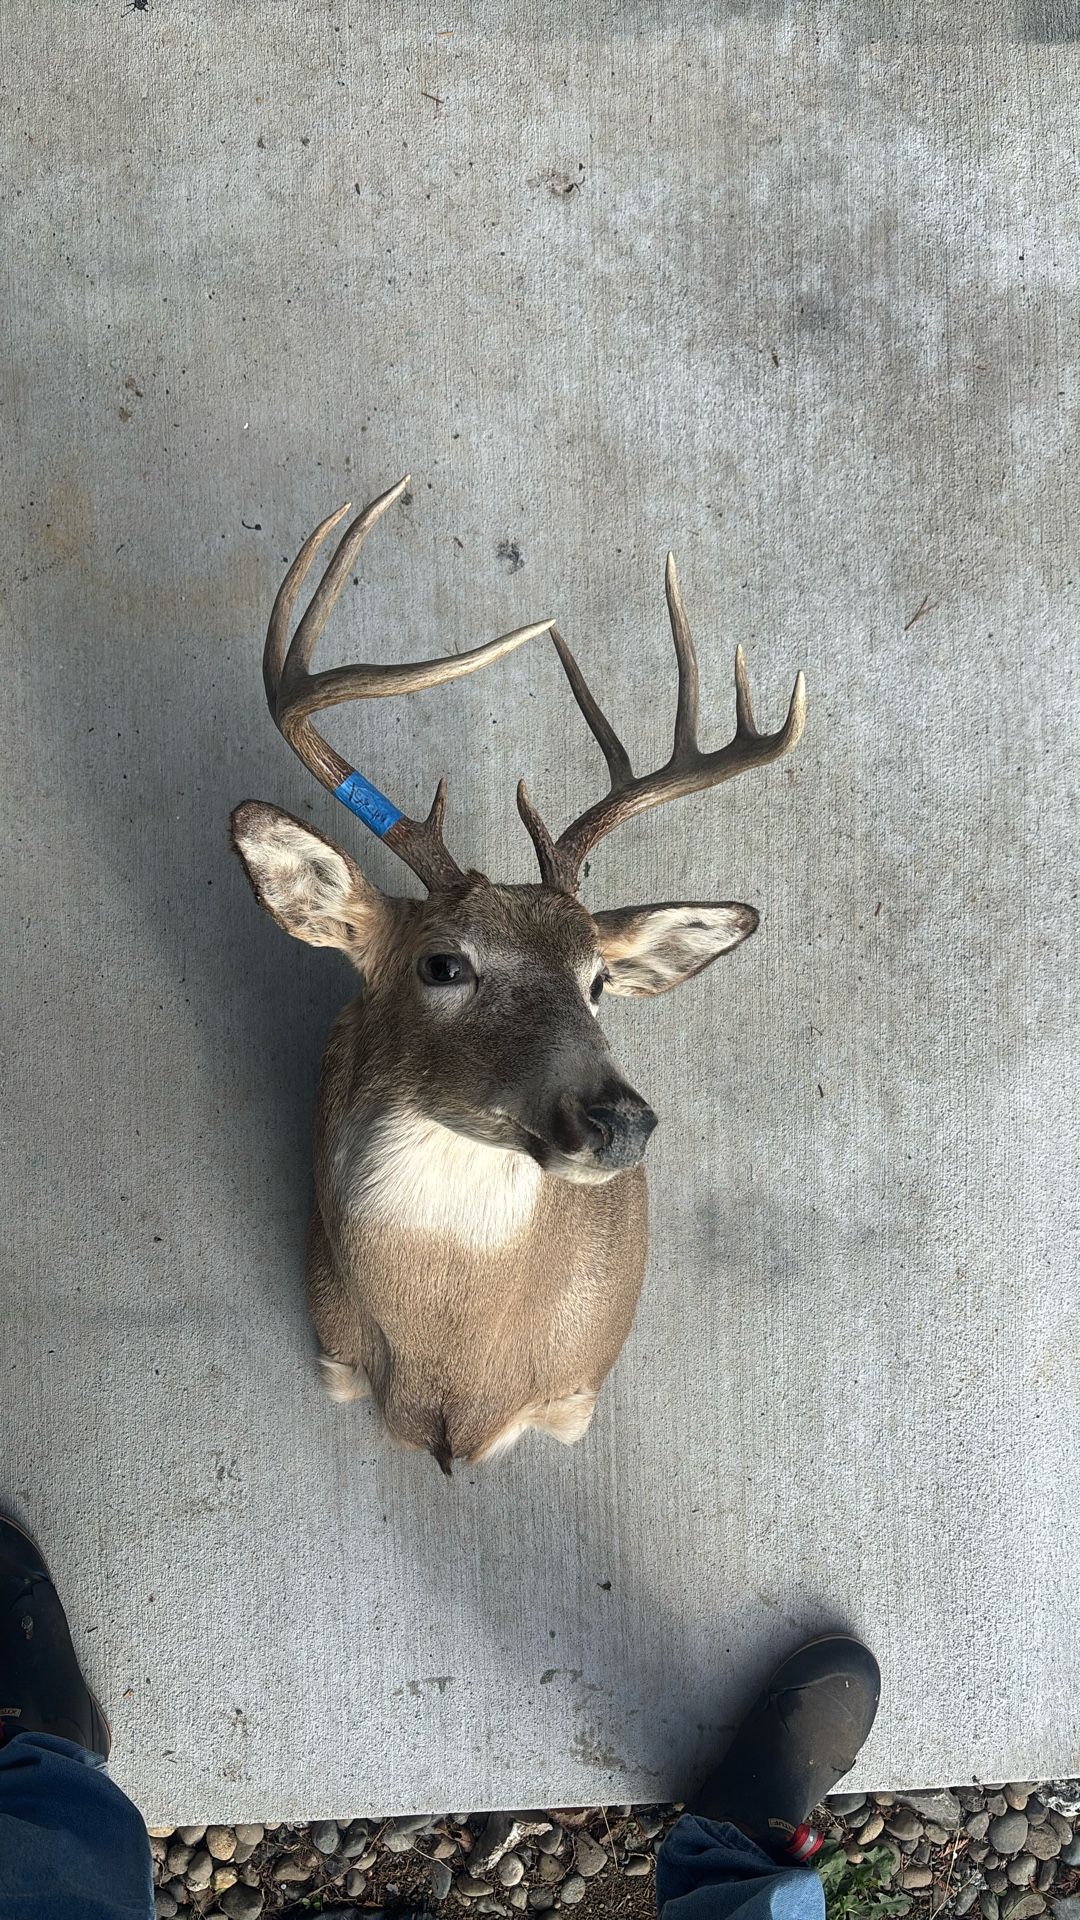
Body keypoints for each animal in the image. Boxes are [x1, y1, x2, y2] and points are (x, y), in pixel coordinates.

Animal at [231, 476, 806, 1473]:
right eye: (443, 962)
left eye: (598, 982)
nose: (619, 1120)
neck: (453, 1384)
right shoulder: (332, 1354)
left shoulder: (574, 1393)